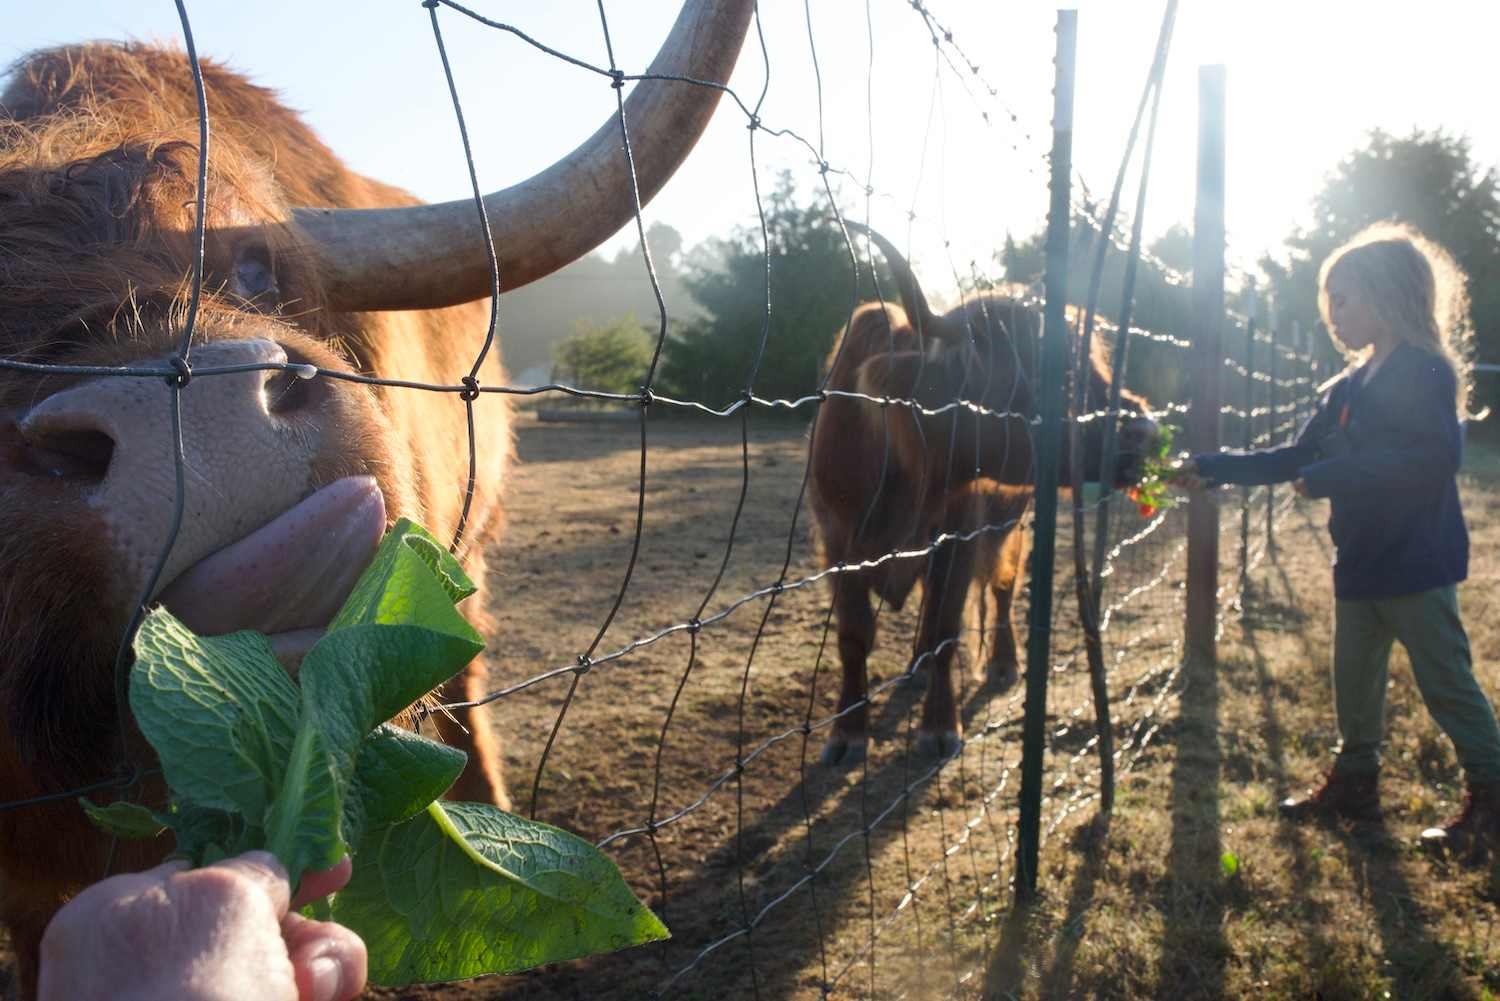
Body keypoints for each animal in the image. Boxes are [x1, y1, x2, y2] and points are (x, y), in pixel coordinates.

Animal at [808, 223, 1157, 766]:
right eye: (1046, 374)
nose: (1143, 430)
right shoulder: (837, 542)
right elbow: (854, 636)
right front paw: (847, 732)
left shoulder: (960, 537)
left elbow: (947, 629)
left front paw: (938, 726)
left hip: (1012, 523)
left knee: (1002, 588)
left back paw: (1002, 663)